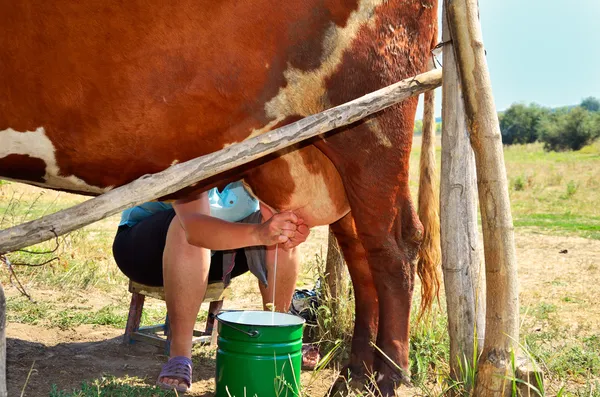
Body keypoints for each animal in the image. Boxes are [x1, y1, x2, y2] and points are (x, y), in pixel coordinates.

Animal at [0, 1, 440, 394]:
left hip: (372, 125)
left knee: (394, 247)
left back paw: (387, 376)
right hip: (335, 157)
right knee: (360, 254)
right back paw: (354, 376)